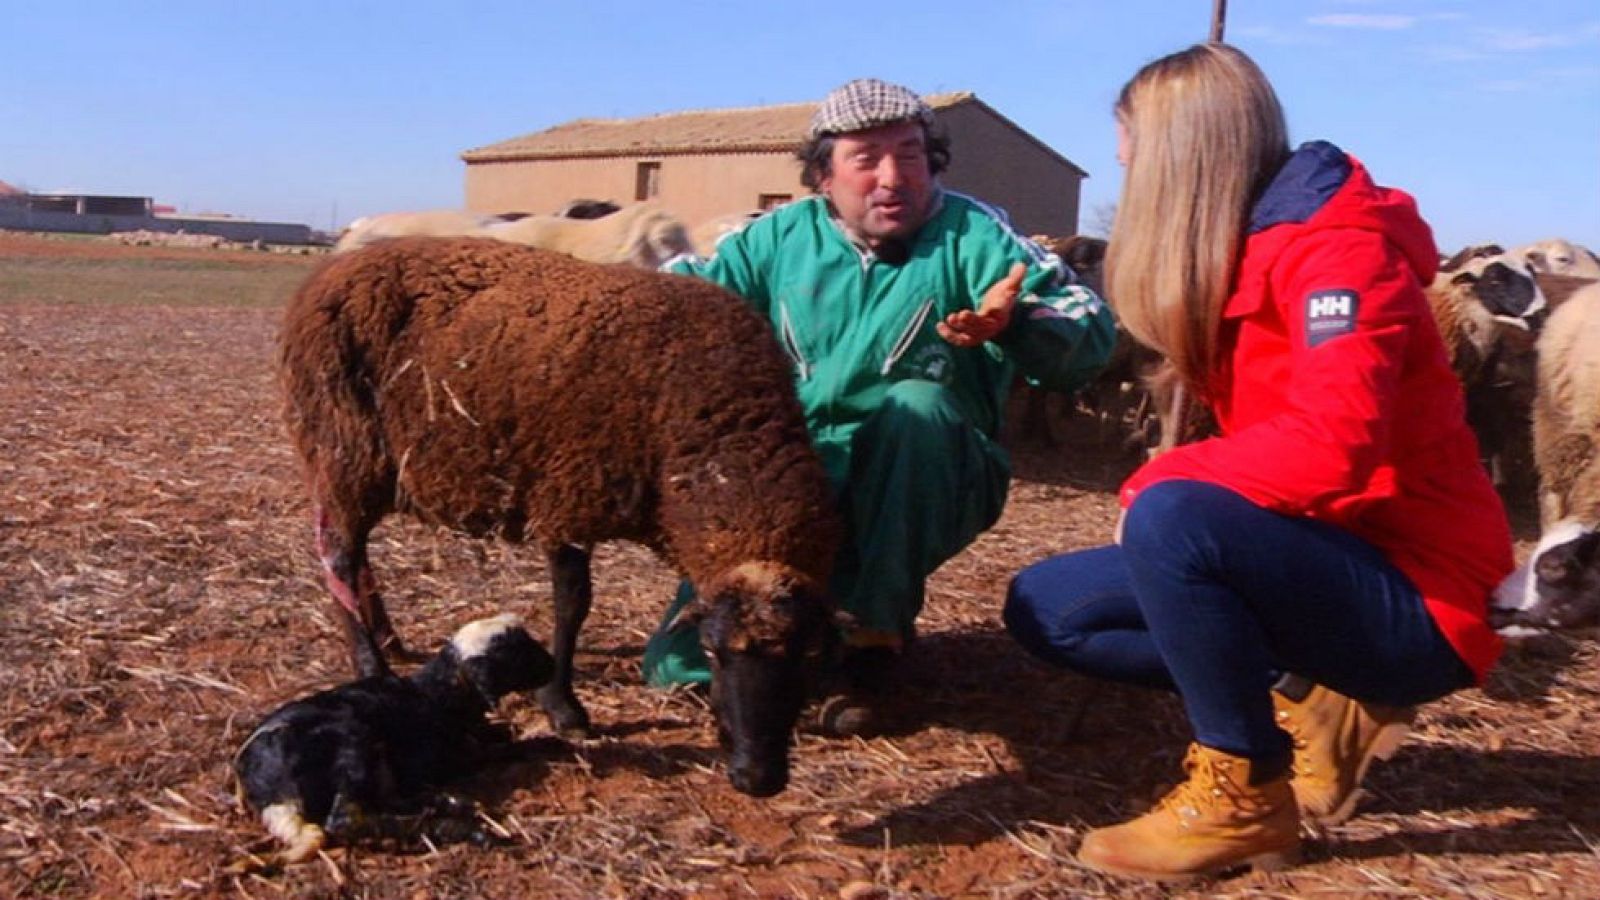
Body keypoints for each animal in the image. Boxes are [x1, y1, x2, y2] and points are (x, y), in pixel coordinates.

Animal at [234, 614, 554, 864]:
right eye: (516, 653)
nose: (551, 664)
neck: (435, 695)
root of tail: (270, 790)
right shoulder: (448, 757)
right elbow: (505, 747)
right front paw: (553, 743)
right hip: (352, 741)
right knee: (346, 819)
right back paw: (458, 827)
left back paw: (446, 803)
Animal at [278, 236, 840, 797]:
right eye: (711, 650)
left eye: (809, 656)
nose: (758, 777)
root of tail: (331, 269)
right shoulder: (566, 493)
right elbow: (572, 604)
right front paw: (563, 707)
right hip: (343, 447)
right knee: (339, 556)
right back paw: (369, 660)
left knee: (356, 552)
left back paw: (389, 639)